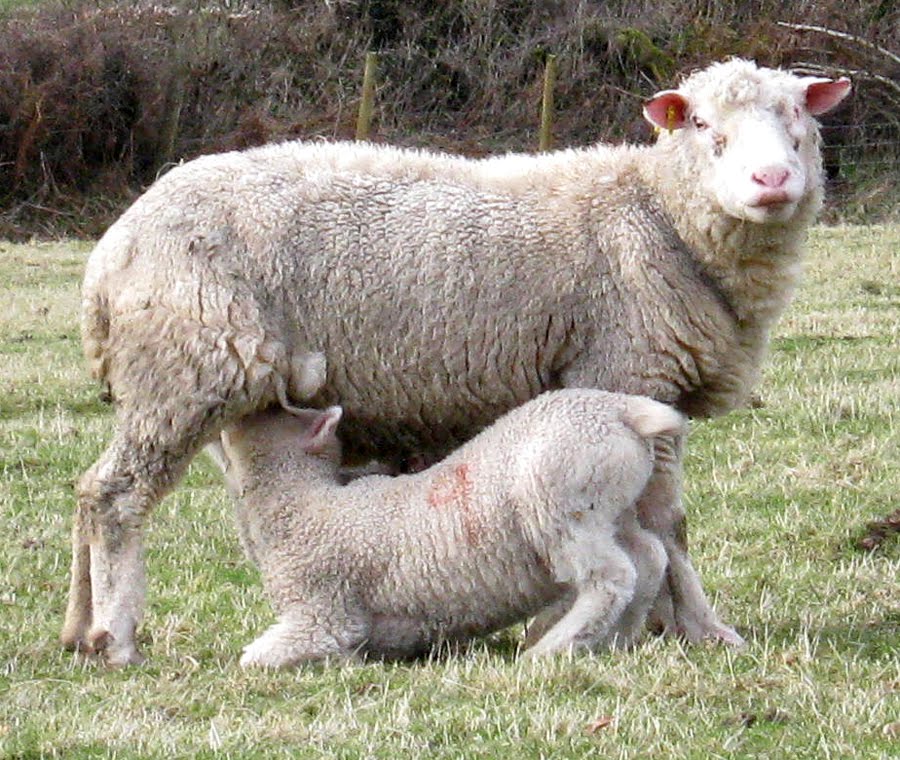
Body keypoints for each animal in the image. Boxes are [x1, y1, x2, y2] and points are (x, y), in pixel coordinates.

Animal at [214, 388, 683, 667]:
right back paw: (616, 639)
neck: (301, 504)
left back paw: (551, 648)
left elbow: (258, 656)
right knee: (648, 557)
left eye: (280, 412)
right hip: (614, 506)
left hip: (562, 503)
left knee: (611, 576)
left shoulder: (321, 610)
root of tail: (624, 410)